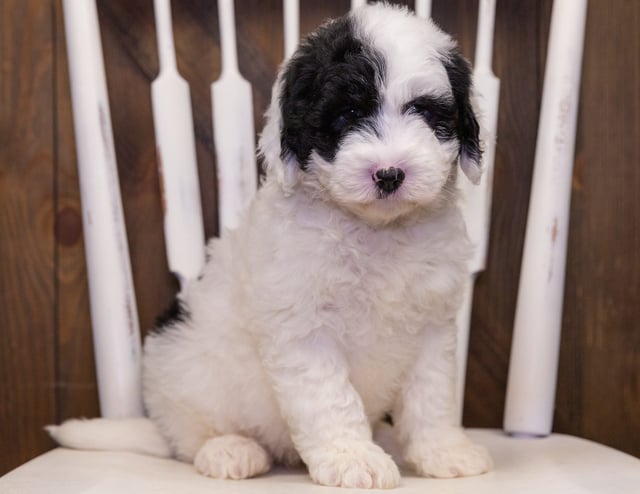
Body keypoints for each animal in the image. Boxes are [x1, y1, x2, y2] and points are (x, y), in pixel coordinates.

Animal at [51, 3, 496, 490]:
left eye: (429, 116)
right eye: (346, 116)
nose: (389, 174)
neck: (377, 232)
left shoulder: (434, 327)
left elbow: (431, 396)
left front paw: (443, 451)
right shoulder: (303, 329)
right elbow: (331, 399)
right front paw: (352, 458)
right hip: (184, 372)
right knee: (192, 436)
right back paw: (229, 449)